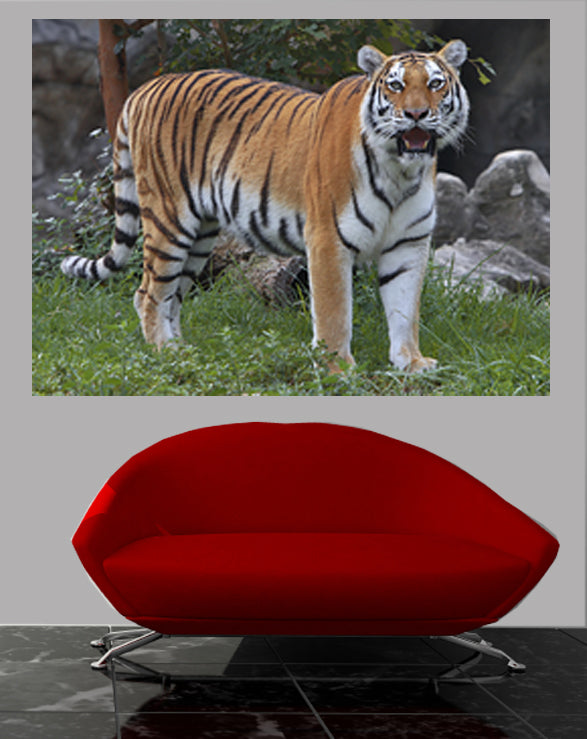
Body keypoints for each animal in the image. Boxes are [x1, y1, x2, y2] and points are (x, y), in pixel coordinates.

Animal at [61, 40, 469, 372]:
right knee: (148, 293)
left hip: (200, 235)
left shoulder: (408, 244)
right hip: (168, 220)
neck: (401, 170)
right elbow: (334, 312)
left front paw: (411, 362)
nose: (416, 114)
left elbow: (405, 308)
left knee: (173, 294)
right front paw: (338, 368)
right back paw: (165, 352)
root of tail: (146, 88)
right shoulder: (327, 240)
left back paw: (184, 351)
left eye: (435, 84)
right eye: (395, 85)